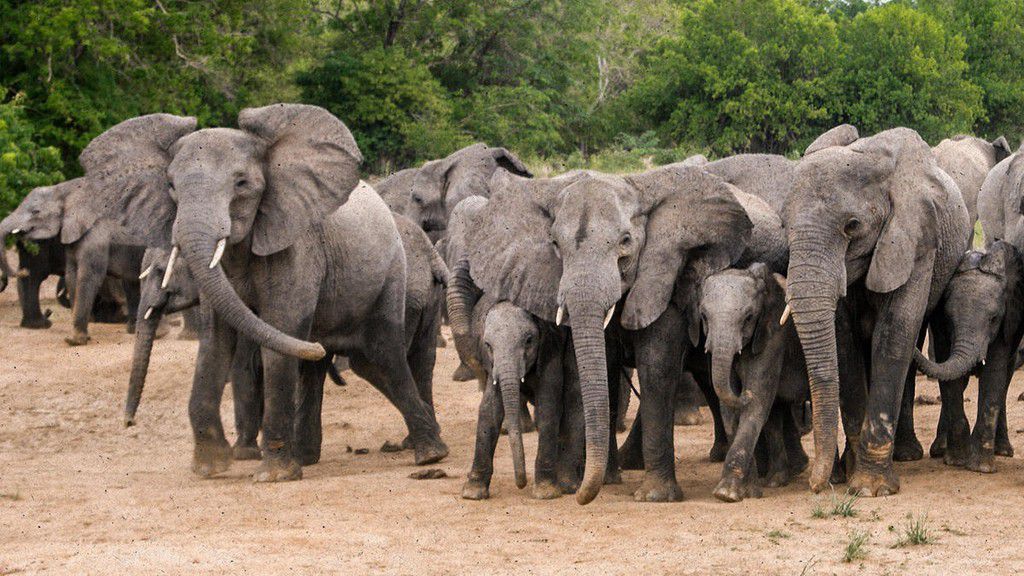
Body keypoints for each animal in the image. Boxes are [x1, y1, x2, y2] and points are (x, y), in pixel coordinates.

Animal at [80, 104, 447, 481]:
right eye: (170, 185)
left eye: (242, 183)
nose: (128, 422)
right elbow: (215, 343)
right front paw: (210, 467)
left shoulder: (296, 248)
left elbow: (279, 336)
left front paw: (273, 475)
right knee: (352, 362)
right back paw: (313, 454)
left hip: (391, 275)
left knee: (381, 353)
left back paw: (430, 454)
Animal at [463, 165, 753, 504]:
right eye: (555, 244)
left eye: (625, 241)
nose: (578, 497)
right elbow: (607, 370)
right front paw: (609, 481)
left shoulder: (664, 276)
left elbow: (656, 367)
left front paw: (654, 496)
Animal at [697, 263, 809, 502]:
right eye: (704, 316)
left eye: (748, 318)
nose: (743, 393)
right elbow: (730, 412)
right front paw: (749, 492)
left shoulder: (774, 336)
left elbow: (757, 402)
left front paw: (727, 494)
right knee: (775, 415)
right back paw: (776, 481)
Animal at [783, 125, 970, 496]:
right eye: (785, 226)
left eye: (852, 225)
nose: (815, 486)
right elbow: (843, 343)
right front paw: (849, 476)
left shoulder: (916, 240)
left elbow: (894, 333)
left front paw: (870, 488)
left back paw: (913, 456)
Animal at [913, 242, 1024, 471]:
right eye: (949, 318)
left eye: (993, 319)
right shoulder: (940, 325)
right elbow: (951, 377)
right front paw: (956, 461)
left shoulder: (1006, 322)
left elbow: (994, 374)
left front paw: (981, 467)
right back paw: (940, 450)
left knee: (1005, 379)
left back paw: (1003, 451)